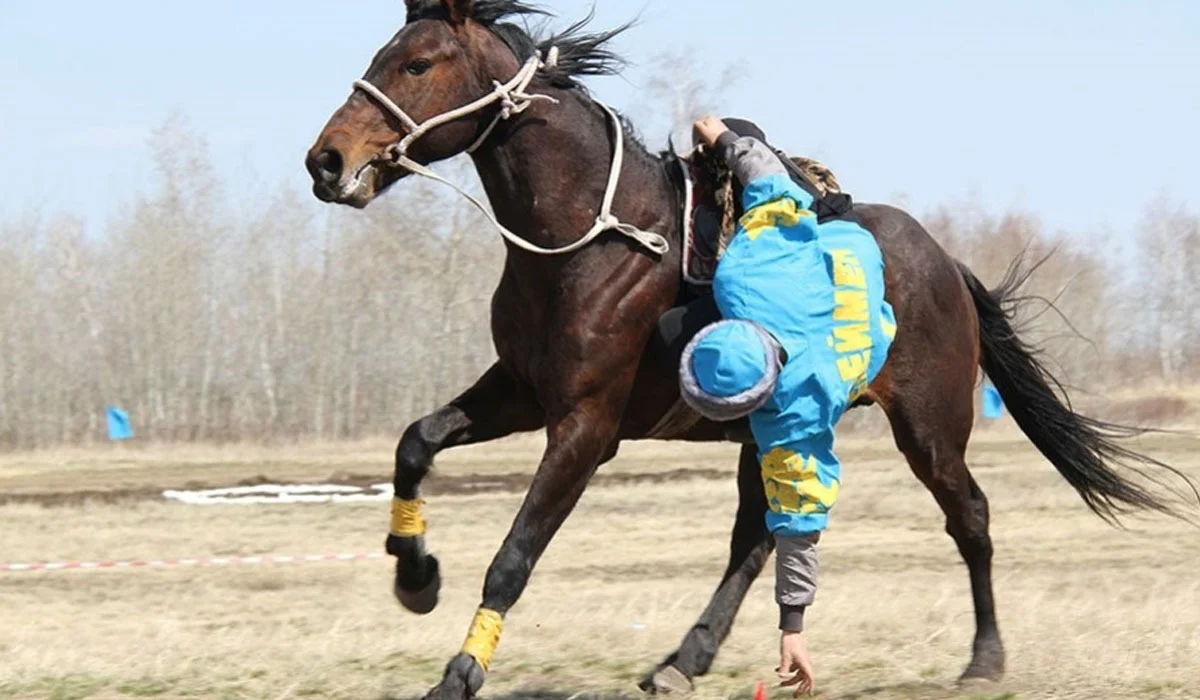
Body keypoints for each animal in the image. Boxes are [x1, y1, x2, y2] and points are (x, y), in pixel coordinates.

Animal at [304, 2, 1195, 696]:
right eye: (381, 57)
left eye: (417, 63)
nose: (327, 160)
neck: (599, 239)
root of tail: (944, 261)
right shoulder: (520, 391)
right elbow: (416, 441)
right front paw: (414, 575)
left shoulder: (586, 428)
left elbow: (514, 555)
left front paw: (459, 673)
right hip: (770, 429)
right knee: (757, 537)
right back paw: (683, 659)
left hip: (931, 426)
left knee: (967, 515)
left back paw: (984, 659)